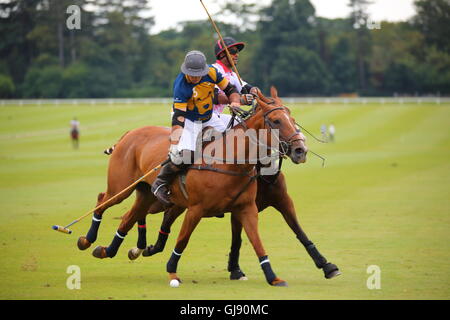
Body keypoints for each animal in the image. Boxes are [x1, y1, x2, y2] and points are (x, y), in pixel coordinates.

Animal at [77, 87, 340, 284]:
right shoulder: (204, 209)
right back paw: (88, 239)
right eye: (276, 120)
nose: (300, 150)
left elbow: (295, 233)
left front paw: (325, 265)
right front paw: (232, 270)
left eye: (293, 119)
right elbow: (210, 239)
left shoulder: (268, 203)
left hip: (147, 195)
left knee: (128, 218)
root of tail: (130, 132)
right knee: (104, 200)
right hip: (123, 187)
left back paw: (110, 249)